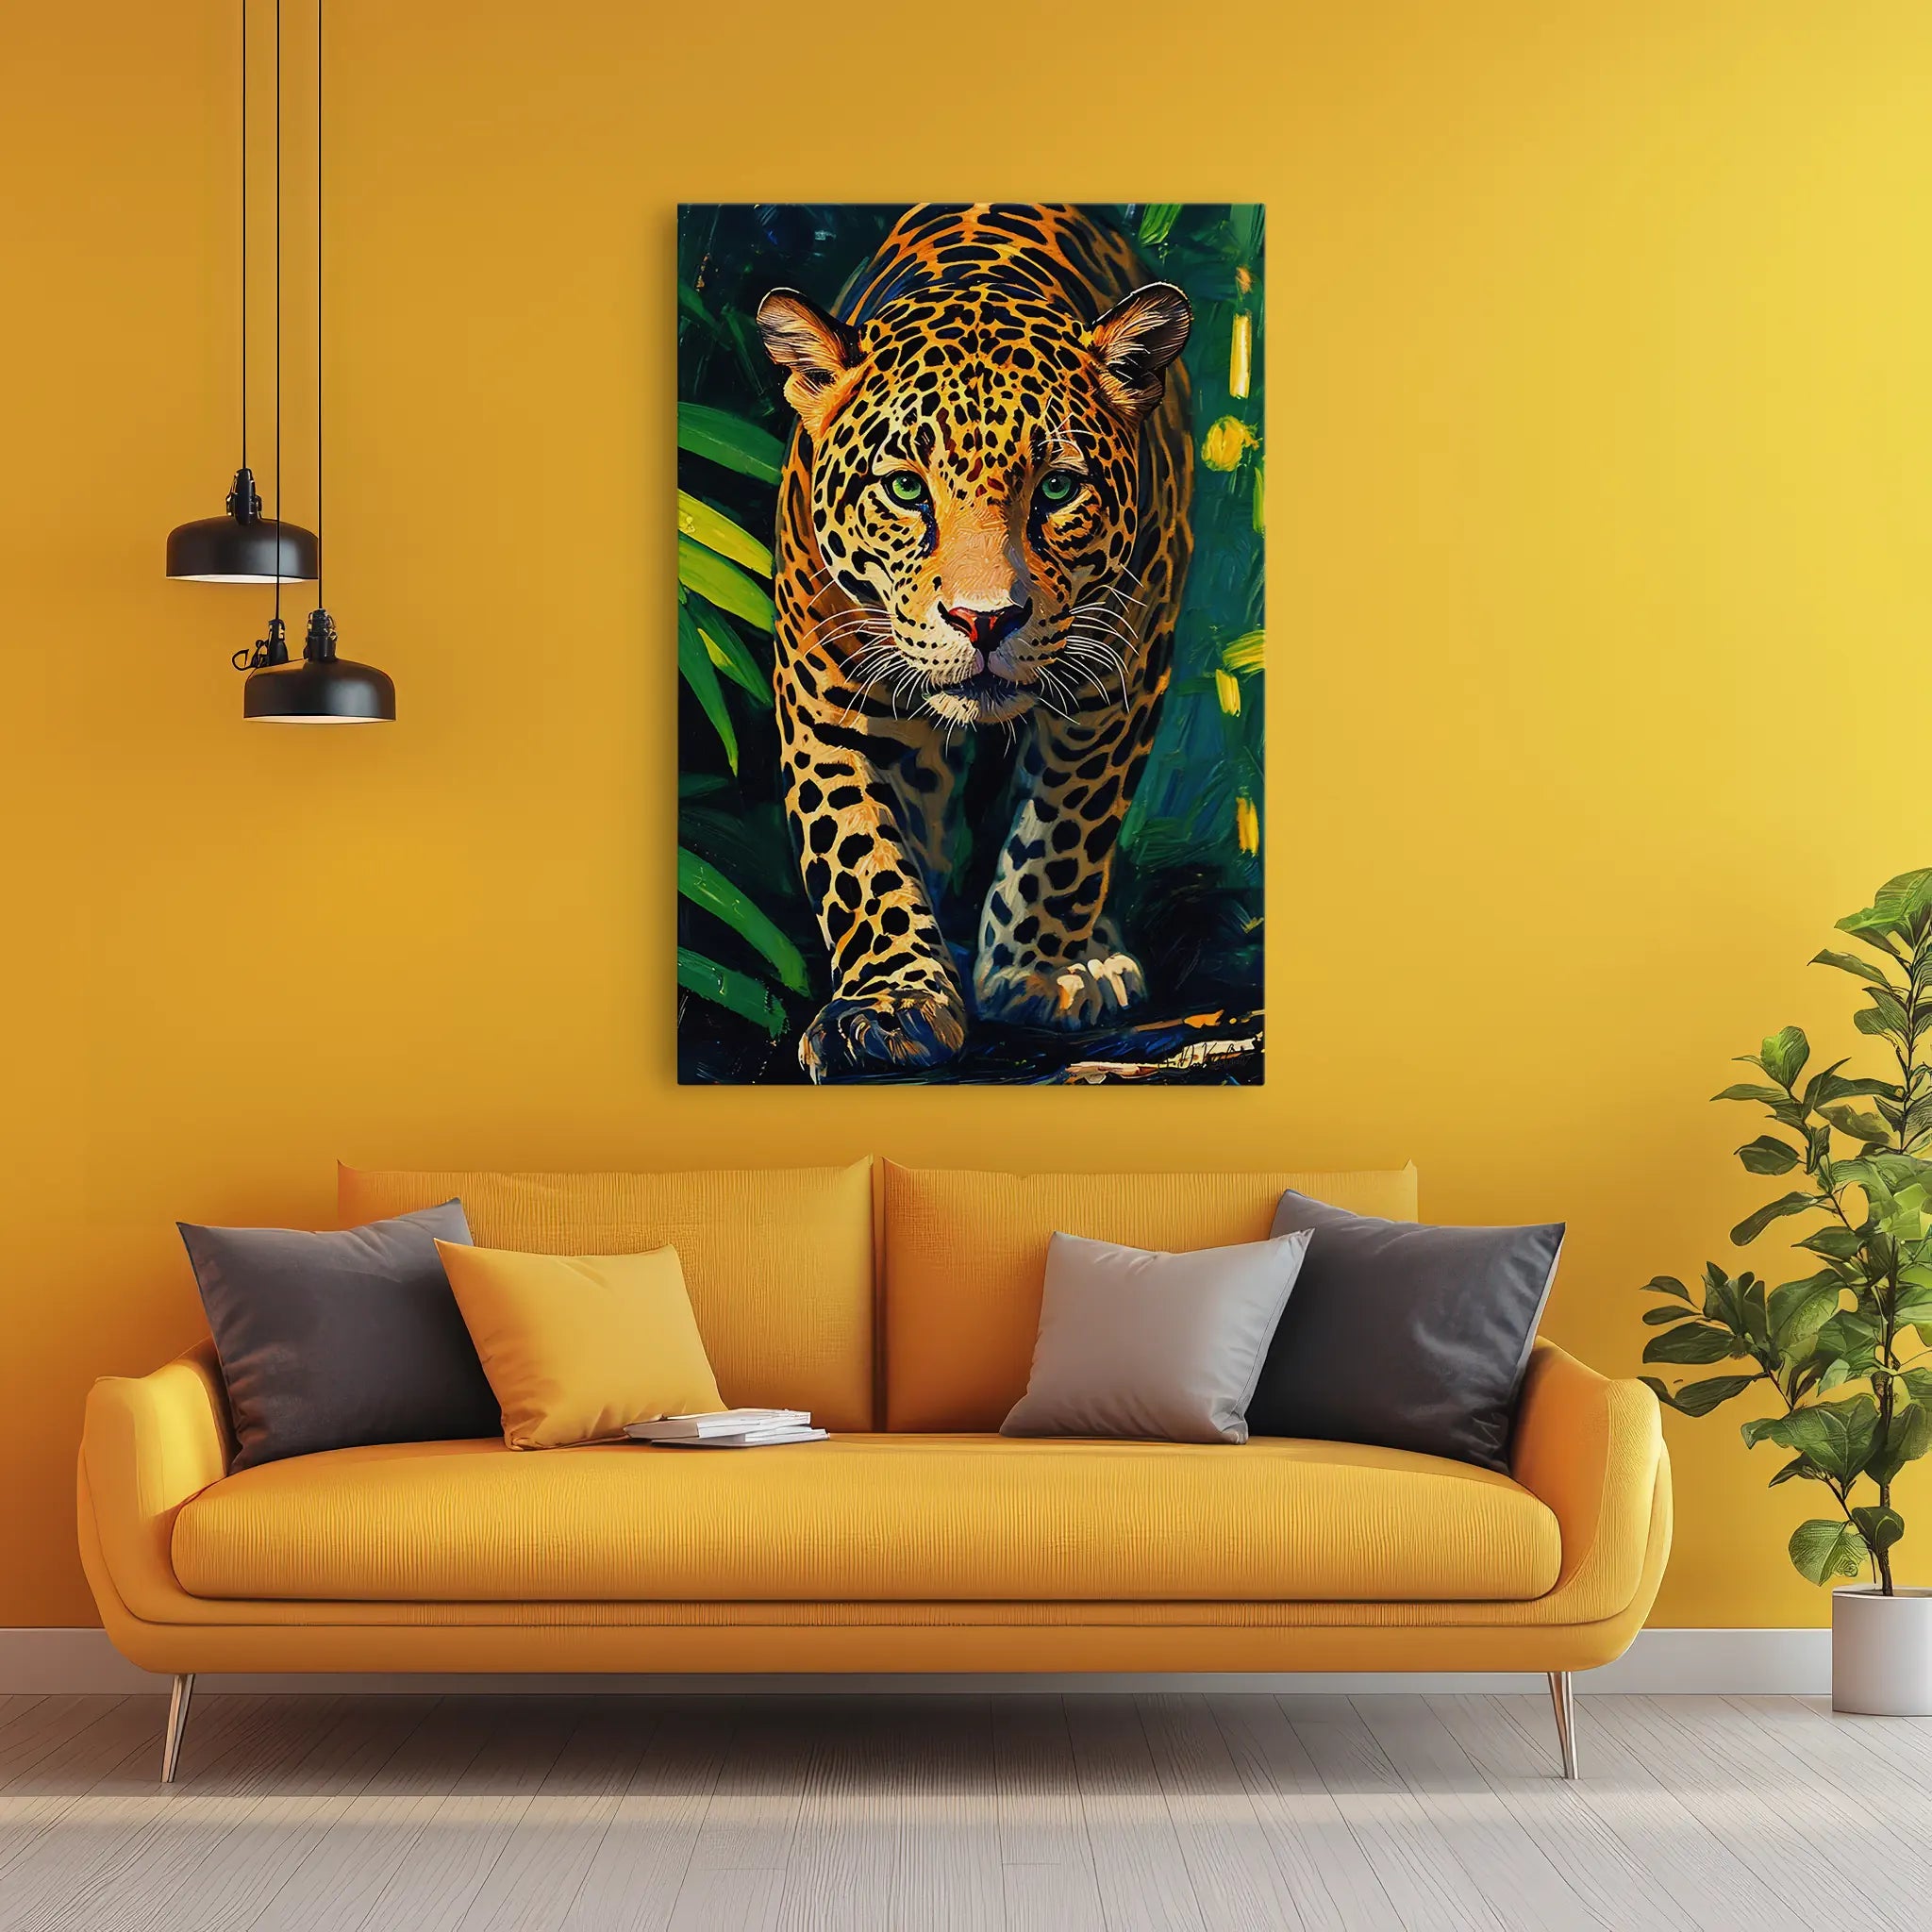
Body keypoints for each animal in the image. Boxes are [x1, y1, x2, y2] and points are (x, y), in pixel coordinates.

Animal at [756, 203, 1194, 1082]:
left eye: (1057, 489)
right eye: (904, 488)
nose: (984, 620)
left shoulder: (1120, 677)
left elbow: (1067, 828)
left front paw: (1036, 973)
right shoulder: (824, 694)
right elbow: (857, 847)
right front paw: (891, 1004)